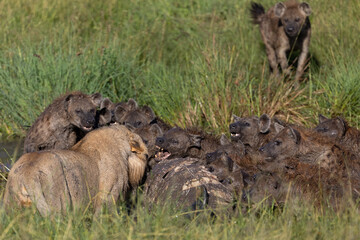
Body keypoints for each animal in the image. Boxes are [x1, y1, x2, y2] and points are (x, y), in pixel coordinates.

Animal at [3, 124, 147, 217]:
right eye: (146, 155)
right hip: (58, 204)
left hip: (11, 205)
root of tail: (28, 173)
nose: (147, 156)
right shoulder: (109, 194)